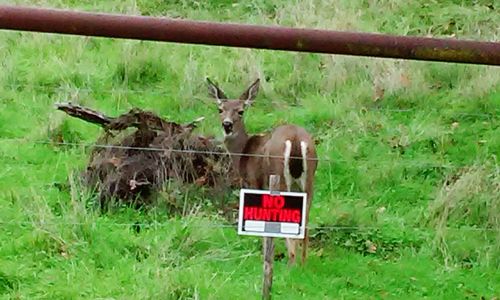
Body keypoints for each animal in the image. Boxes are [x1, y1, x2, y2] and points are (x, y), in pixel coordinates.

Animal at [206, 77, 316, 264]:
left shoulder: (254, 182)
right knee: (306, 220)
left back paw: (291, 262)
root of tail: (295, 139)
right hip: (309, 179)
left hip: (280, 177)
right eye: (220, 109)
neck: (243, 152)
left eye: (241, 111)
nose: (227, 125)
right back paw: (302, 263)